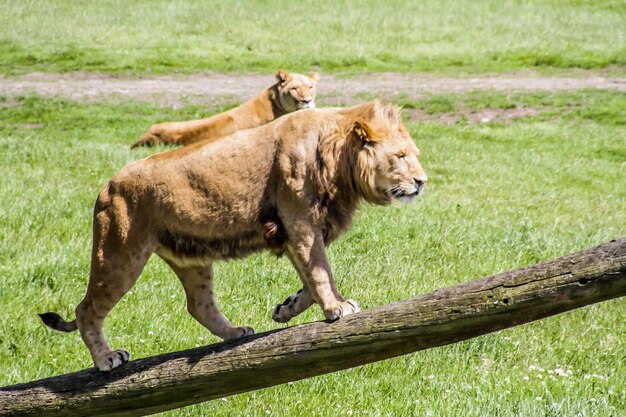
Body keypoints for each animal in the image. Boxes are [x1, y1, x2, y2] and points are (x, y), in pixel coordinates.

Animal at [39, 99, 426, 368]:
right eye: (400, 156)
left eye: (413, 155)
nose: (422, 181)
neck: (337, 156)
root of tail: (106, 185)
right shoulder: (300, 221)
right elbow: (320, 272)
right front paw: (337, 307)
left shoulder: (292, 231)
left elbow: (308, 277)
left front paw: (287, 308)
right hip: (119, 255)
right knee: (86, 309)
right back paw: (106, 359)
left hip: (191, 259)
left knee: (198, 305)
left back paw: (234, 334)